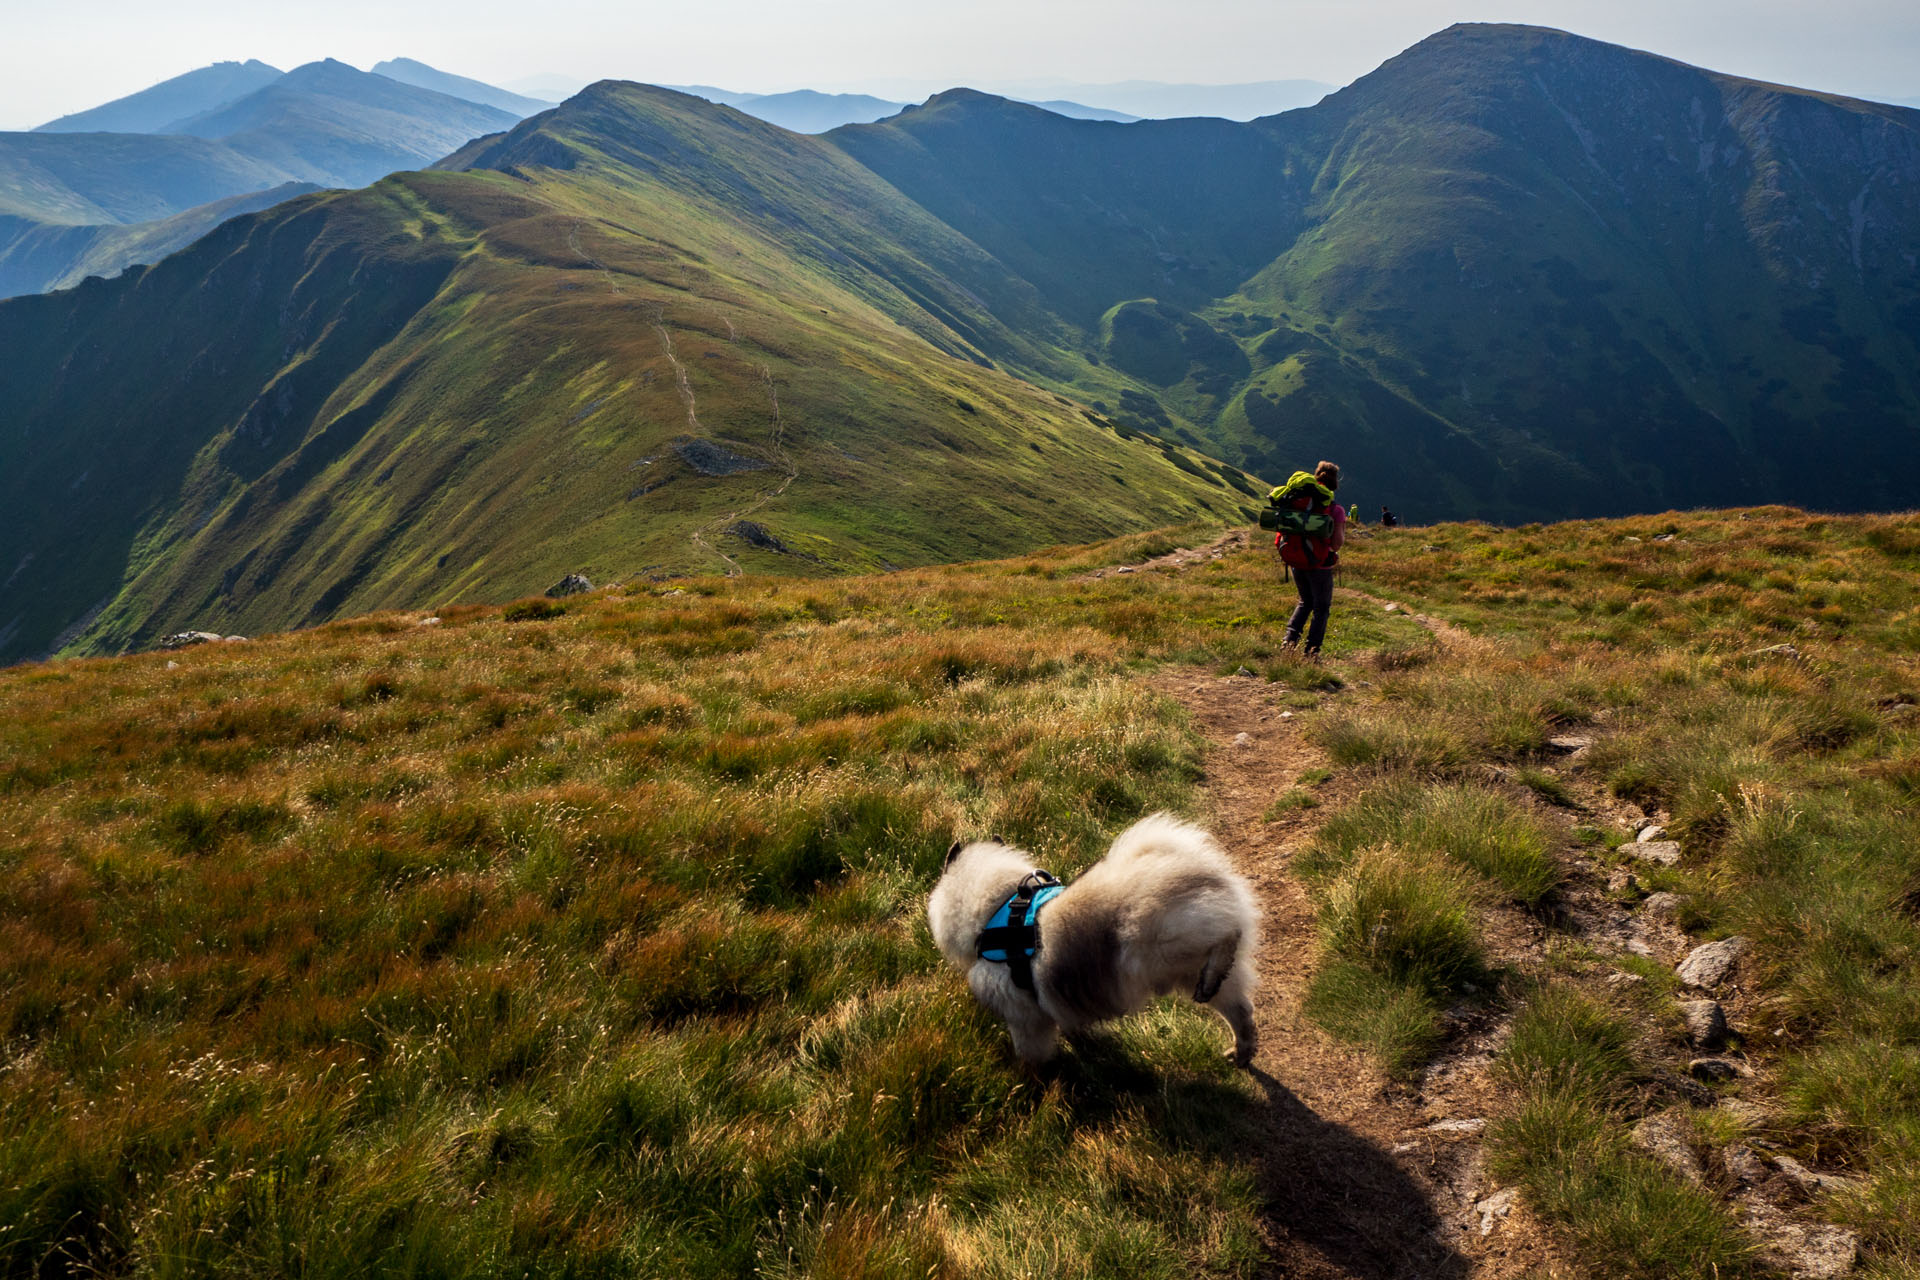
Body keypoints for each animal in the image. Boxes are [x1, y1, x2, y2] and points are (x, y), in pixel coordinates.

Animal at [929, 817, 1259, 1066]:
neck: (997, 910)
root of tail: (1201, 868)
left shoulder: (1024, 1018)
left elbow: (1031, 1052)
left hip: (1166, 944)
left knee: (1226, 938)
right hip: (1189, 971)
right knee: (1239, 1011)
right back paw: (1241, 1050)